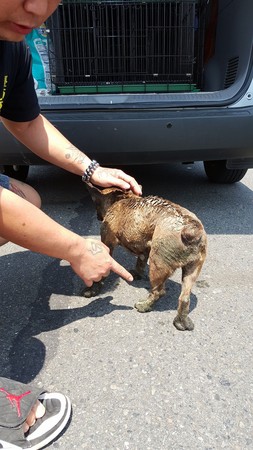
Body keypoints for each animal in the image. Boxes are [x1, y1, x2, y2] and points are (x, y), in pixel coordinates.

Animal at [84, 183, 207, 330]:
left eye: (95, 203)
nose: (97, 215)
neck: (121, 198)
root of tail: (190, 228)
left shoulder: (107, 244)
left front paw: (93, 289)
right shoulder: (144, 250)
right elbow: (140, 262)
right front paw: (137, 273)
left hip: (157, 265)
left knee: (158, 292)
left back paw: (144, 306)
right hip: (191, 270)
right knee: (184, 297)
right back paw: (180, 320)